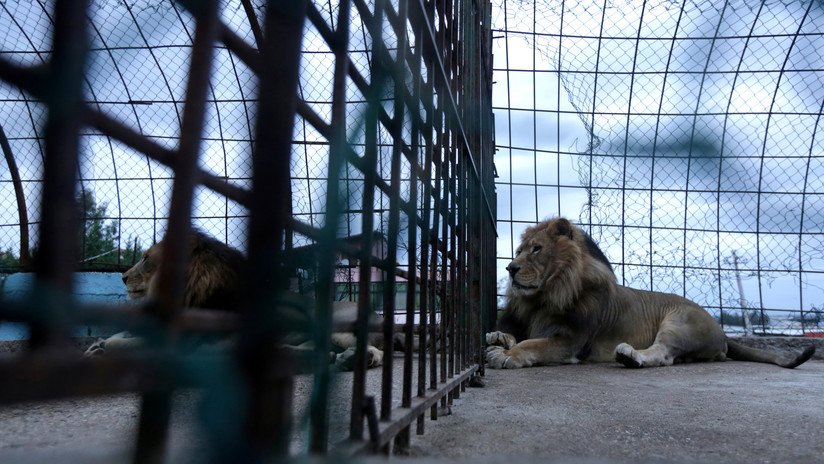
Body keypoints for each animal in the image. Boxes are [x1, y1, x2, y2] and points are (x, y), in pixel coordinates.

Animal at [84, 230, 392, 370]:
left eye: (147, 259)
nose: (123, 277)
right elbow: (120, 336)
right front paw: (96, 347)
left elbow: (125, 343)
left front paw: (103, 348)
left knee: (375, 351)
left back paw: (357, 358)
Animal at [486, 217, 816, 369]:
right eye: (519, 250)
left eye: (537, 249)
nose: (511, 268)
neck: (544, 296)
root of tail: (723, 332)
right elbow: (510, 332)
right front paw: (499, 339)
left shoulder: (570, 342)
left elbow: (532, 344)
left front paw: (507, 355)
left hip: (678, 322)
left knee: (662, 354)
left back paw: (630, 356)